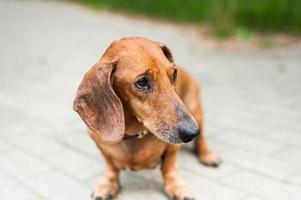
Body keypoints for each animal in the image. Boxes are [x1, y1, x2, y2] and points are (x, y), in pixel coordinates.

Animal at [73, 36, 219, 199]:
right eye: (142, 82)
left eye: (174, 73)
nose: (192, 132)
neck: (134, 135)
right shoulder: (100, 145)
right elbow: (110, 166)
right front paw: (107, 184)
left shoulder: (173, 148)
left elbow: (169, 166)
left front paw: (176, 186)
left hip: (196, 110)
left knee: (202, 137)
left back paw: (207, 154)